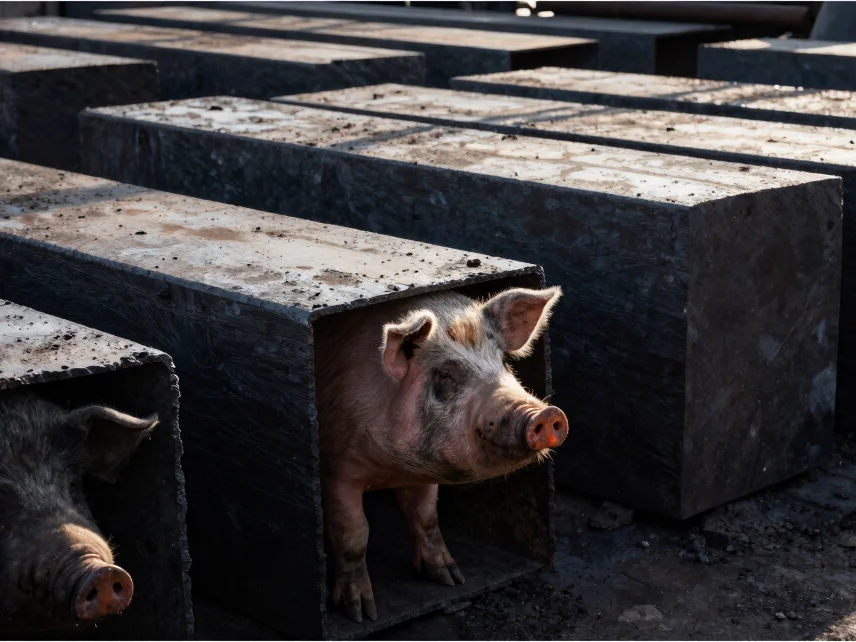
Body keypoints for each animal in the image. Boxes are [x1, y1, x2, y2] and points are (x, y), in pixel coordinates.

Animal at [315, 285, 568, 623]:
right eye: (446, 374)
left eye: (502, 361)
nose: (546, 414)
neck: (389, 469)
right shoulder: (336, 469)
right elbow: (353, 534)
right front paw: (362, 614)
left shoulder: (423, 470)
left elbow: (426, 516)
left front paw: (452, 579)